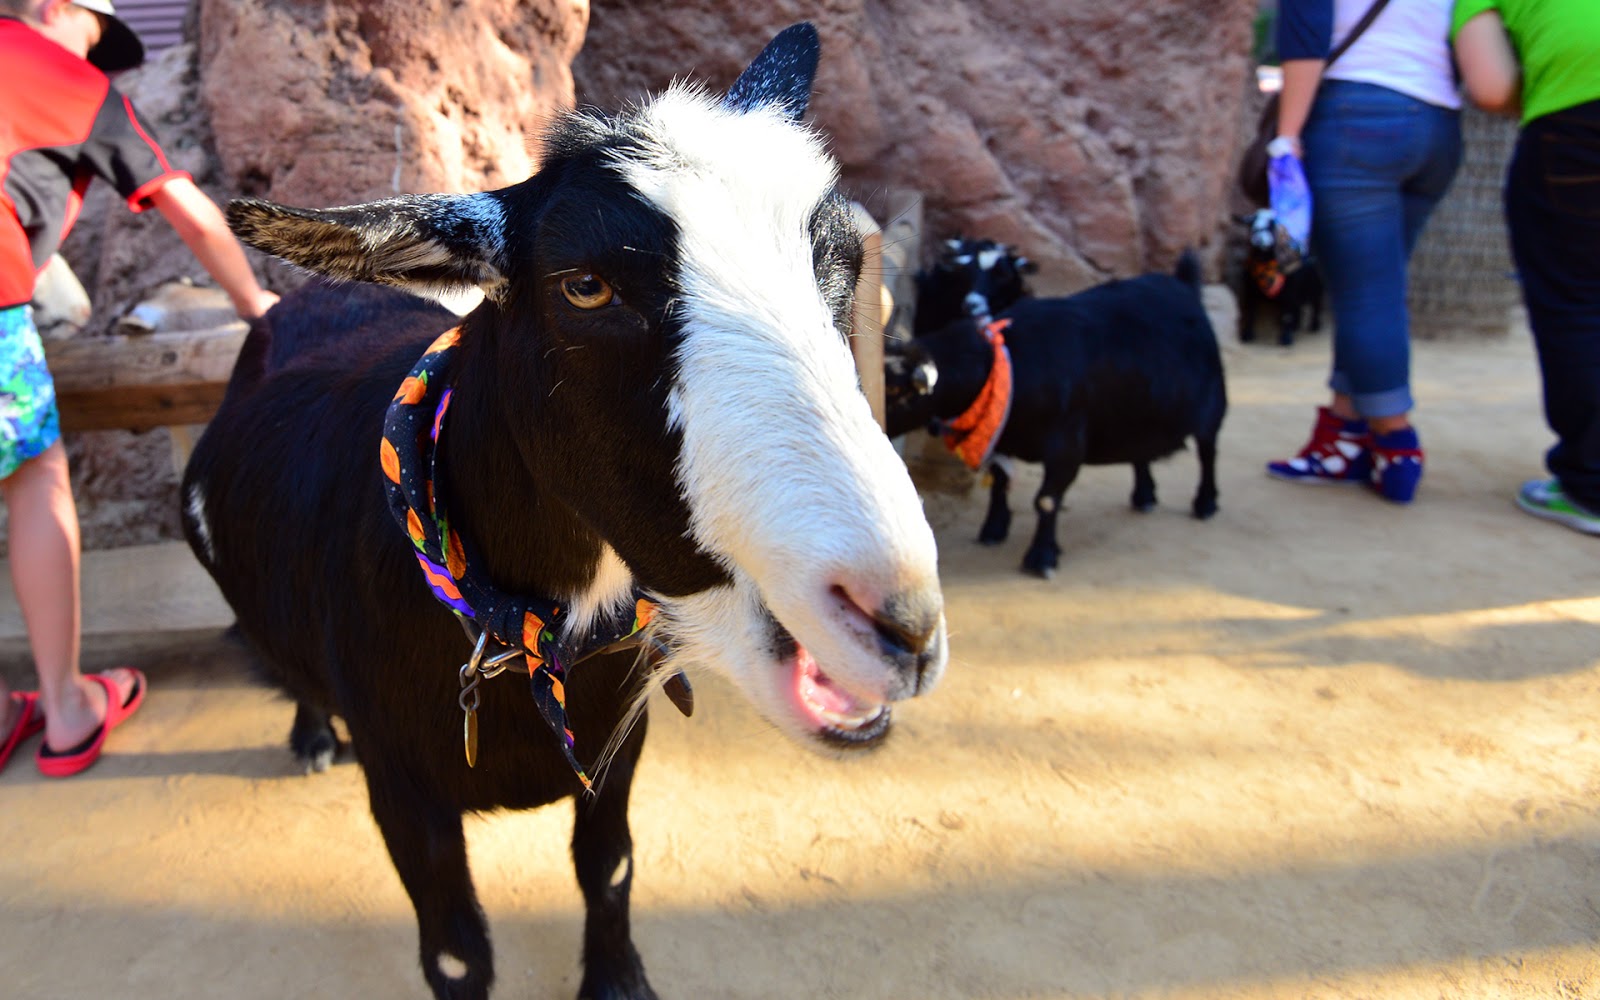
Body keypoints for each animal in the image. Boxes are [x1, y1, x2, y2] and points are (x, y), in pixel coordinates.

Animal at [181, 24, 947, 1000]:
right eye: (585, 287)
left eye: (843, 260)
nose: (900, 622)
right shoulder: (405, 794)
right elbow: (457, 954)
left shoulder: (620, 746)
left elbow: (607, 865)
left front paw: (618, 979)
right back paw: (312, 735)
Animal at [885, 251, 1226, 578]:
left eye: (897, 389)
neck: (1006, 366)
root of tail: (1183, 284)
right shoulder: (1003, 440)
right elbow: (999, 483)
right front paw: (993, 529)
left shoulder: (1066, 446)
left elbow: (1046, 500)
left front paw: (1041, 557)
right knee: (1140, 450)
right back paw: (1144, 496)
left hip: (1213, 406)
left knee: (1208, 453)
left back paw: (1205, 503)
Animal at [1237, 208, 1324, 346]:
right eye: (1252, 223)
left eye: (1271, 224)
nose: (1257, 235)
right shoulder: (1250, 290)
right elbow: (1250, 312)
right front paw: (1246, 336)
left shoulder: (1290, 292)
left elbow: (1286, 316)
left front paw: (1285, 339)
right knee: (1297, 308)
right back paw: (1296, 326)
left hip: (1315, 288)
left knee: (1316, 304)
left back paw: (1314, 326)